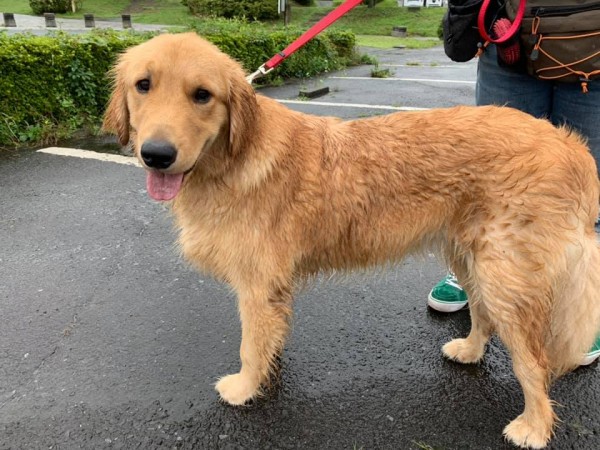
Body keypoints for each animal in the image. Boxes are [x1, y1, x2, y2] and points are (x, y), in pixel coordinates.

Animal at [104, 33, 600, 448]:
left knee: (532, 360)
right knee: (482, 313)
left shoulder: (256, 283)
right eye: (143, 85)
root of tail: (566, 142)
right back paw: (471, 350)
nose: (156, 154)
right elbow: (268, 336)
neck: (234, 157)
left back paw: (534, 426)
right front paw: (268, 368)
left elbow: (249, 343)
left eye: (202, 95)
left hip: (504, 273)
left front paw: (245, 388)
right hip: (469, 256)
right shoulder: (272, 287)